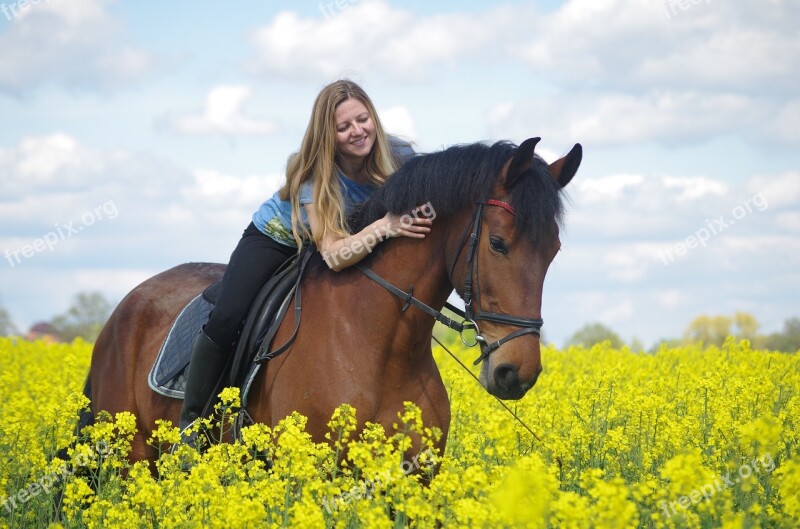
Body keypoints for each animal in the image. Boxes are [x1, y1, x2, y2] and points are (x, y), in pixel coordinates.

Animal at [89, 137, 580, 462]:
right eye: (498, 244)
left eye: (554, 250)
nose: (517, 373)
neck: (381, 346)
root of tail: (124, 307)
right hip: (131, 455)